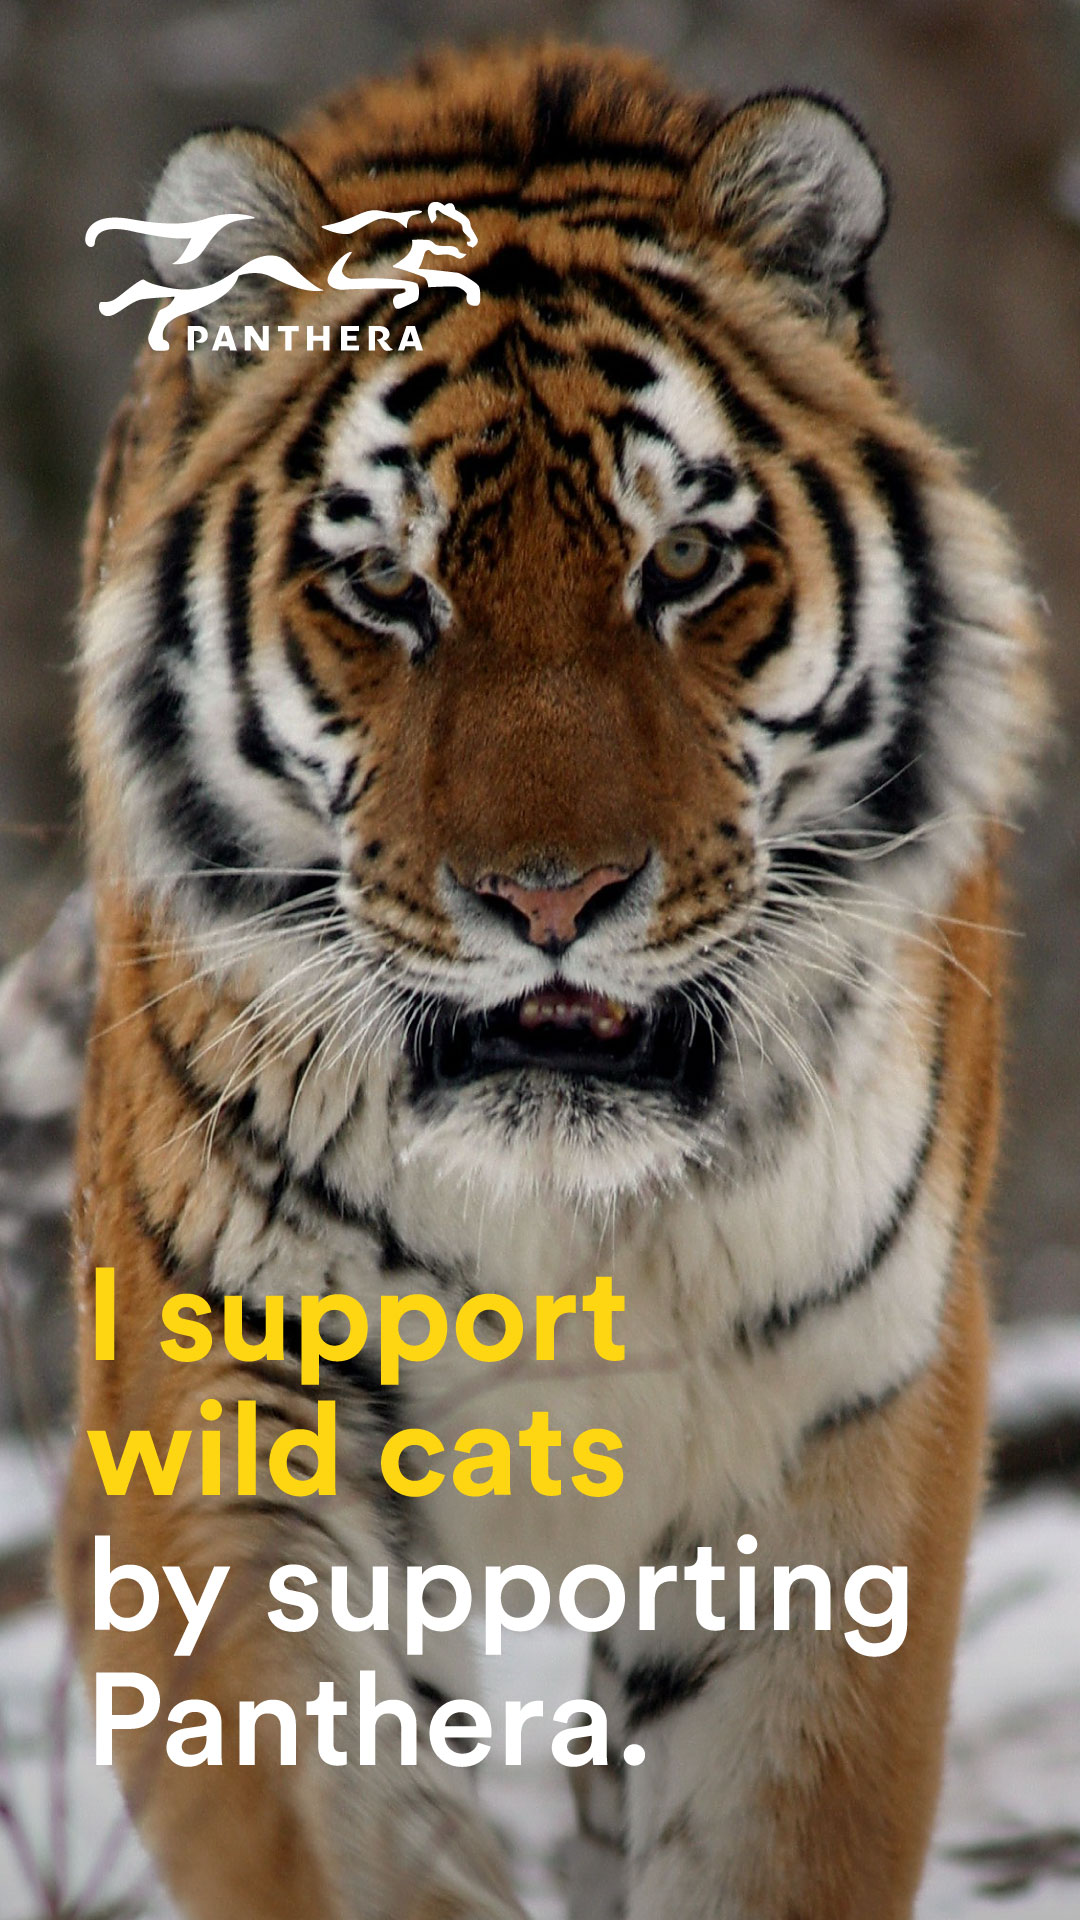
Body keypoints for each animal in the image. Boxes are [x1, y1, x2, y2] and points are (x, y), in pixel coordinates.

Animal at [57, 40, 1046, 1920]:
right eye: (387, 583)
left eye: (684, 565)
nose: (551, 897)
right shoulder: (225, 1427)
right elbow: (340, 1834)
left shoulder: (833, 1440)